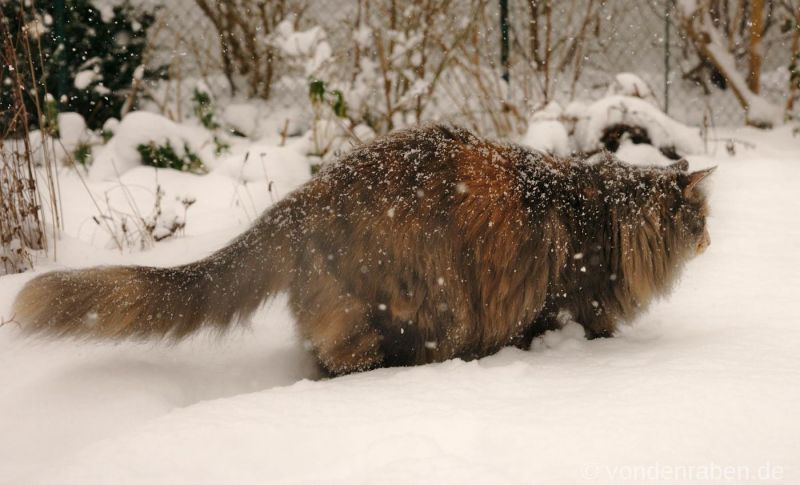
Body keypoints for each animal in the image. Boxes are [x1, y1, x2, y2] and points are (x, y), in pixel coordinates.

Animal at [10, 125, 712, 374]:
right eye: (700, 217)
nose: (710, 238)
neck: (608, 215)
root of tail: (307, 196)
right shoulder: (570, 295)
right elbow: (581, 325)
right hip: (402, 307)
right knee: (345, 357)